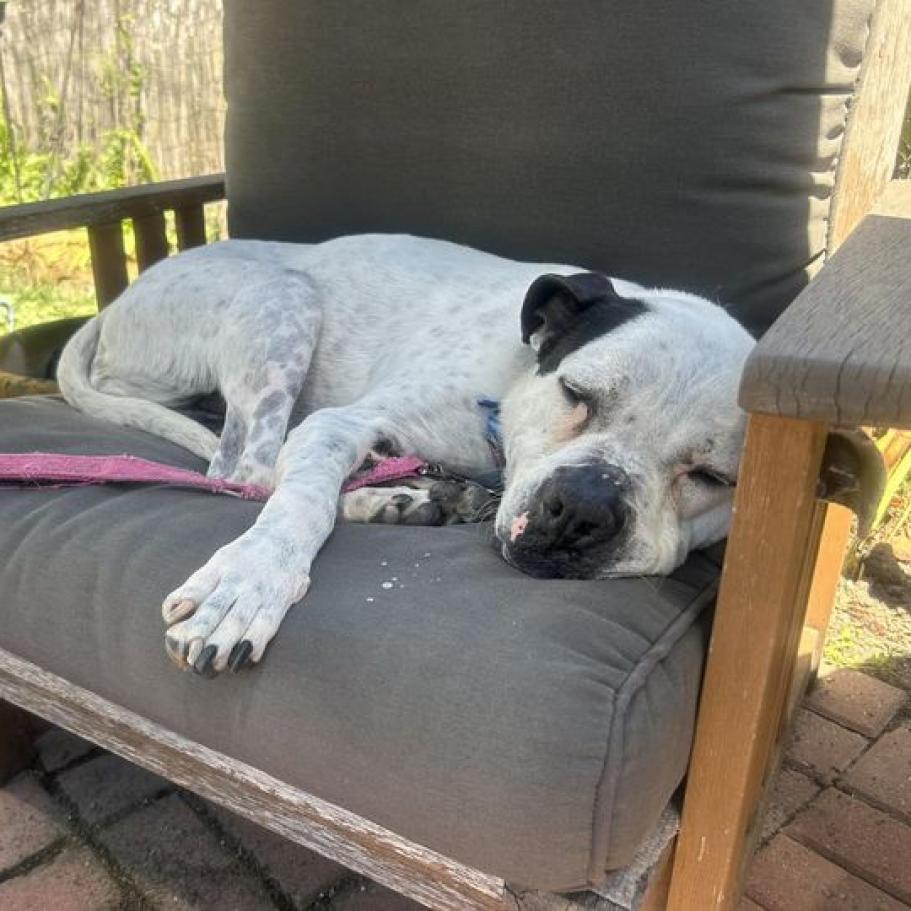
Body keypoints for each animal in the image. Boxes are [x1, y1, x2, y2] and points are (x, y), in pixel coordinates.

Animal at [55, 235, 764, 676]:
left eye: (710, 477)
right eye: (575, 393)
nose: (582, 510)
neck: (508, 386)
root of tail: (116, 304)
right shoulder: (342, 422)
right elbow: (297, 508)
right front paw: (248, 584)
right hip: (284, 295)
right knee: (248, 474)